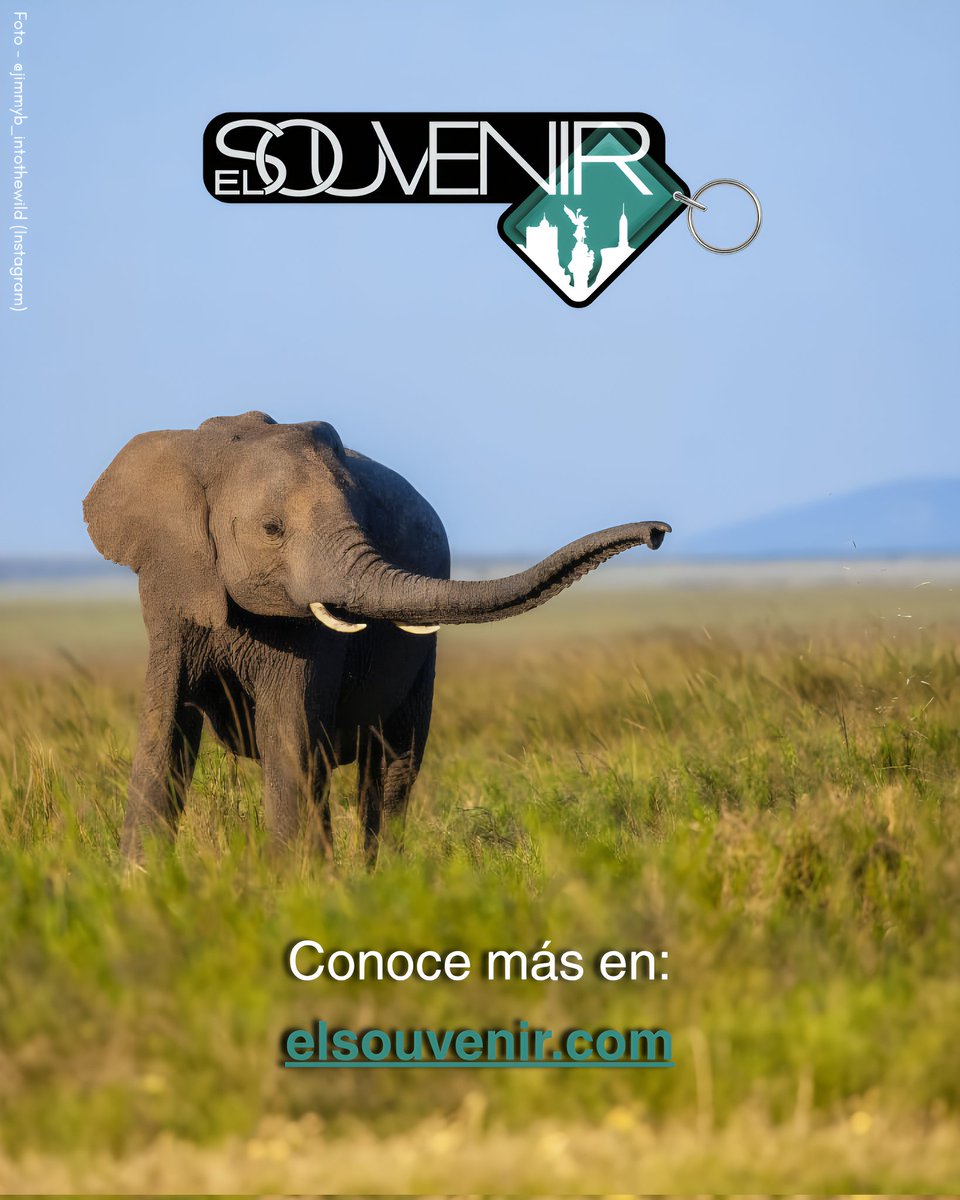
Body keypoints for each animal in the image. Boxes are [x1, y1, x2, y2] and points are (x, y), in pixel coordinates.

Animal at [83, 412, 671, 862]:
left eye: (362, 517)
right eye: (272, 530)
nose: (658, 532)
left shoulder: (312, 633)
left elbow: (287, 733)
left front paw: (287, 888)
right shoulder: (171, 588)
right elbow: (165, 732)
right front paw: (143, 884)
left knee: (390, 766)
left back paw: (380, 880)